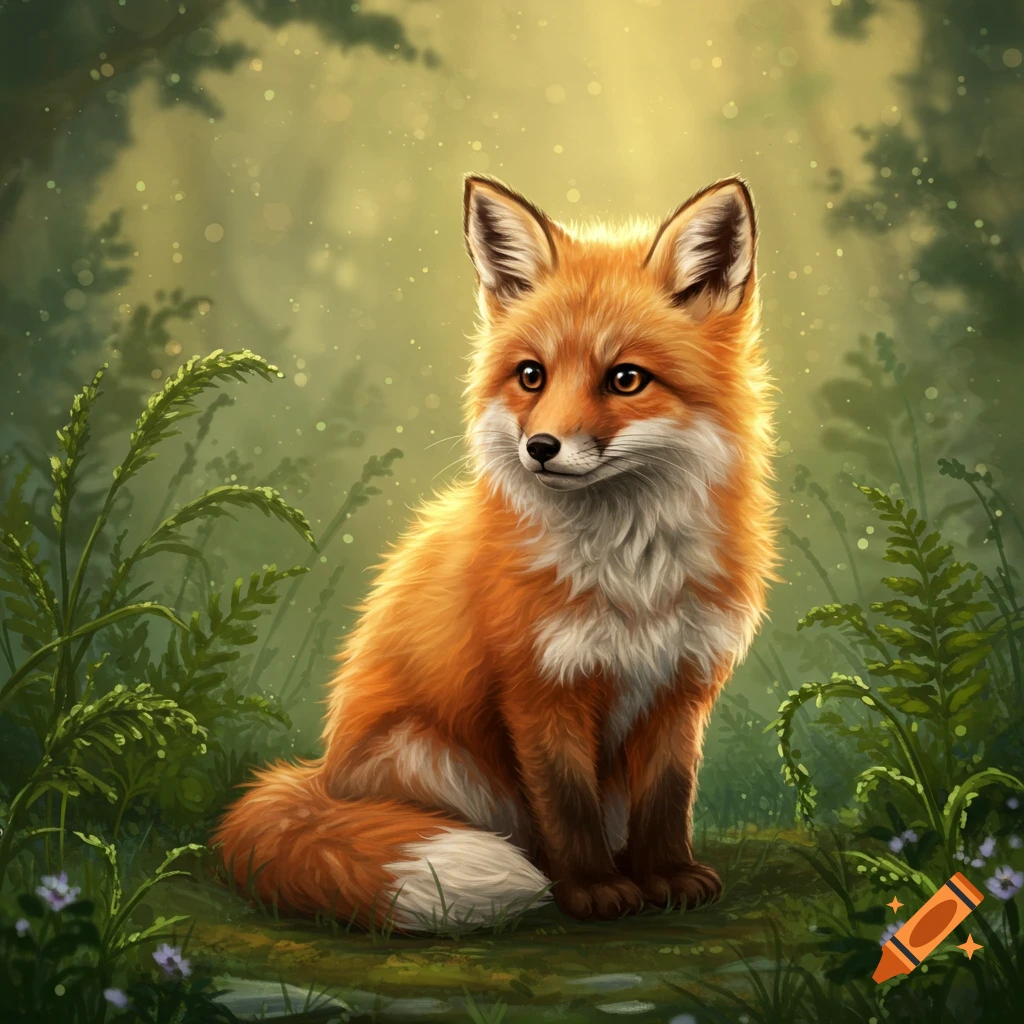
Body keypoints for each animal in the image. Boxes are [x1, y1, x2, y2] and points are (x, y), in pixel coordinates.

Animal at [213, 173, 777, 931]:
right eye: (531, 375)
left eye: (626, 379)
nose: (540, 447)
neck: (632, 571)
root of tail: (323, 776)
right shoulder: (538, 685)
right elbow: (565, 806)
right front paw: (592, 891)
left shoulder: (680, 683)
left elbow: (667, 798)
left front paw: (666, 876)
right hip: (433, 759)